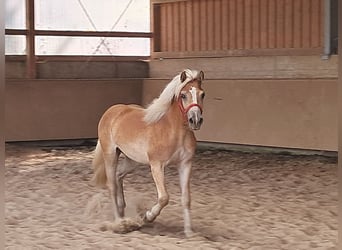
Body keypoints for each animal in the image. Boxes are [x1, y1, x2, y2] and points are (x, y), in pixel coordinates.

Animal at [91, 68, 207, 236]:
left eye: (202, 94)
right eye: (183, 95)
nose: (195, 120)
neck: (174, 130)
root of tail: (111, 112)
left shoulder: (185, 164)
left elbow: (186, 198)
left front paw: (189, 232)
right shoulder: (156, 165)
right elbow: (164, 197)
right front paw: (147, 217)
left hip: (132, 160)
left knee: (119, 176)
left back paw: (122, 211)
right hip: (110, 154)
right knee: (111, 185)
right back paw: (120, 223)